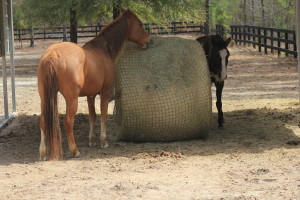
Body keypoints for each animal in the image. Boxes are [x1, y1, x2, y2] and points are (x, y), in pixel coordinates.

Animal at [37, 9, 150, 161]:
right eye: (139, 24)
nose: (149, 40)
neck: (103, 49)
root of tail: (52, 54)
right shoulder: (105, 93)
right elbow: (103, 115)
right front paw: (103, 141)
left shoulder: (90, 95)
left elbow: (92, 116)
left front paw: (92, 140)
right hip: (71, 99)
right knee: (68, 121)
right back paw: (75, 150)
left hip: (44, 97)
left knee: (43, 120)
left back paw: (42, 153)